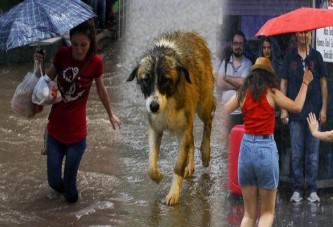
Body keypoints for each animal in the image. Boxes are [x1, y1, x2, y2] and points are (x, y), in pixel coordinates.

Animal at [127, 30, 215, 206]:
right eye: (146, 80)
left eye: (165, 80)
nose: (154, 106)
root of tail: (192, 33)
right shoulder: (155, 128)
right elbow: (151, 165)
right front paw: (158, 176)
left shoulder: (183, 130)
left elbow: (178, 164)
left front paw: (174, 192)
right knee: (192, 139)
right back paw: (190, 166)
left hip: (202, 104)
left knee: (208, 121)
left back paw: (205, 151)